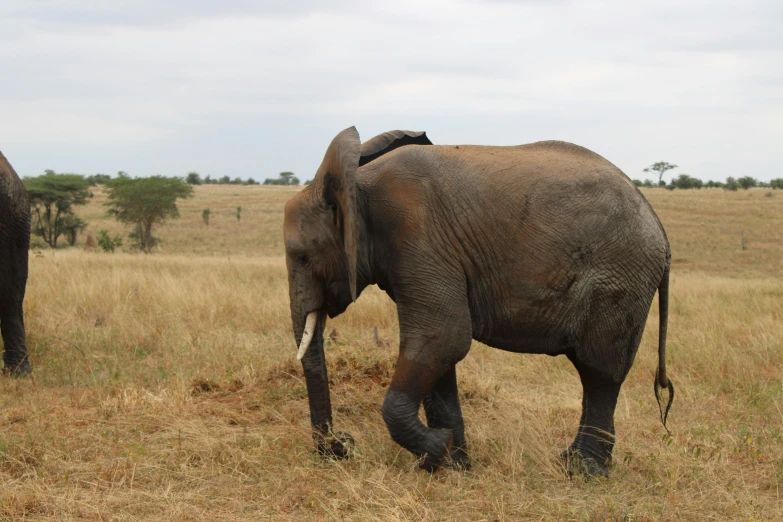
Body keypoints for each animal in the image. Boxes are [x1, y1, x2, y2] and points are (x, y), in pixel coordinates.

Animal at [284, 127, 676, 476]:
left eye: (301, 256)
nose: (342, 444)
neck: (356, 183)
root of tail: (659, 224)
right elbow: (437, 352)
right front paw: (447, 466)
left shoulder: (418, 235)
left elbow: (443, 337)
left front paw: (437, 448)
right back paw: (572, 463)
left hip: (620, 276)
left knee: (600, 372)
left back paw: (584, 472)